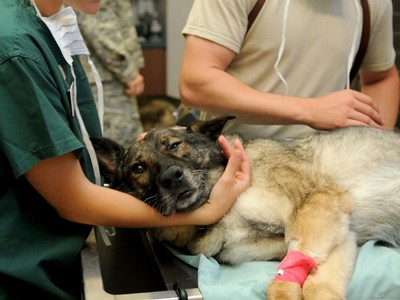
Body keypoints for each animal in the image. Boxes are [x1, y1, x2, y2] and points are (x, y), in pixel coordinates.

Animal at [92, 115, 400, 300]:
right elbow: (315, 280)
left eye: (176, 145)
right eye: (138, 168)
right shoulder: (339, 233)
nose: (171, 177)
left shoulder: (318, 204)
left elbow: (297, 276)